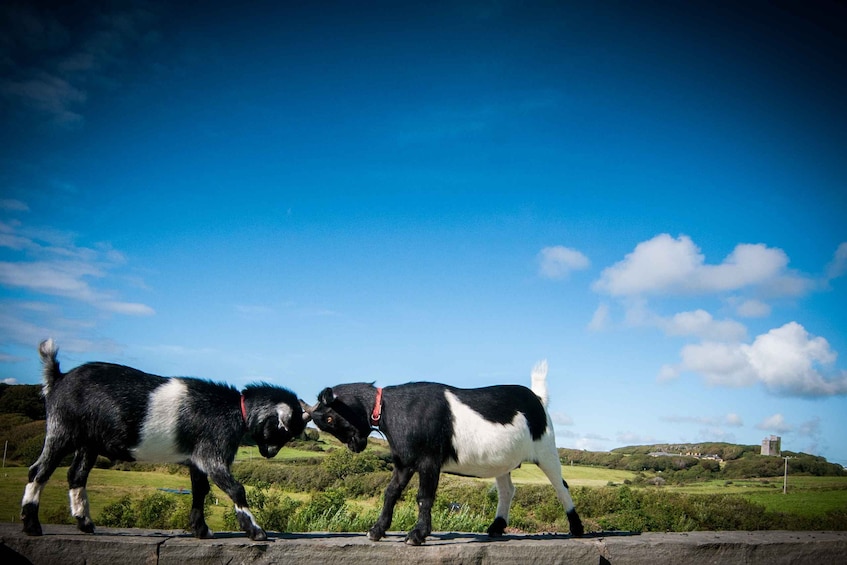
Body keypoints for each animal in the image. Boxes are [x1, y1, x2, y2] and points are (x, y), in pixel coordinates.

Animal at [20, 338, 308, 540]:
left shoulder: (195, 460)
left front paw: (202, 531)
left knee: (76, 476)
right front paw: (256, 531)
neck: (236, 409)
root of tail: (57, 378)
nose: (270, 454)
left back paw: (85, 523)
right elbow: (236, 488)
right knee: (39, 470)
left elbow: (200, 491)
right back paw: (32, 525)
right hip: (62, 430)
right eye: (285, 430)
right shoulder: (211, 454)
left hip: (88, 442)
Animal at [302, 360, 588, 544]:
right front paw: (376, 531)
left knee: (561, 486)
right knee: (507, 490)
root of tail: (538, 399)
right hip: (503, 462)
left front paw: (416, 535)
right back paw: (495, 528)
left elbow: (423, 496)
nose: (355, 446)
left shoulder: (429, 459)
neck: (390, 409)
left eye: (329, 418)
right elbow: (391, 492)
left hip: (546, 449)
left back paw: (576, 528)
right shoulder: (404, 460)